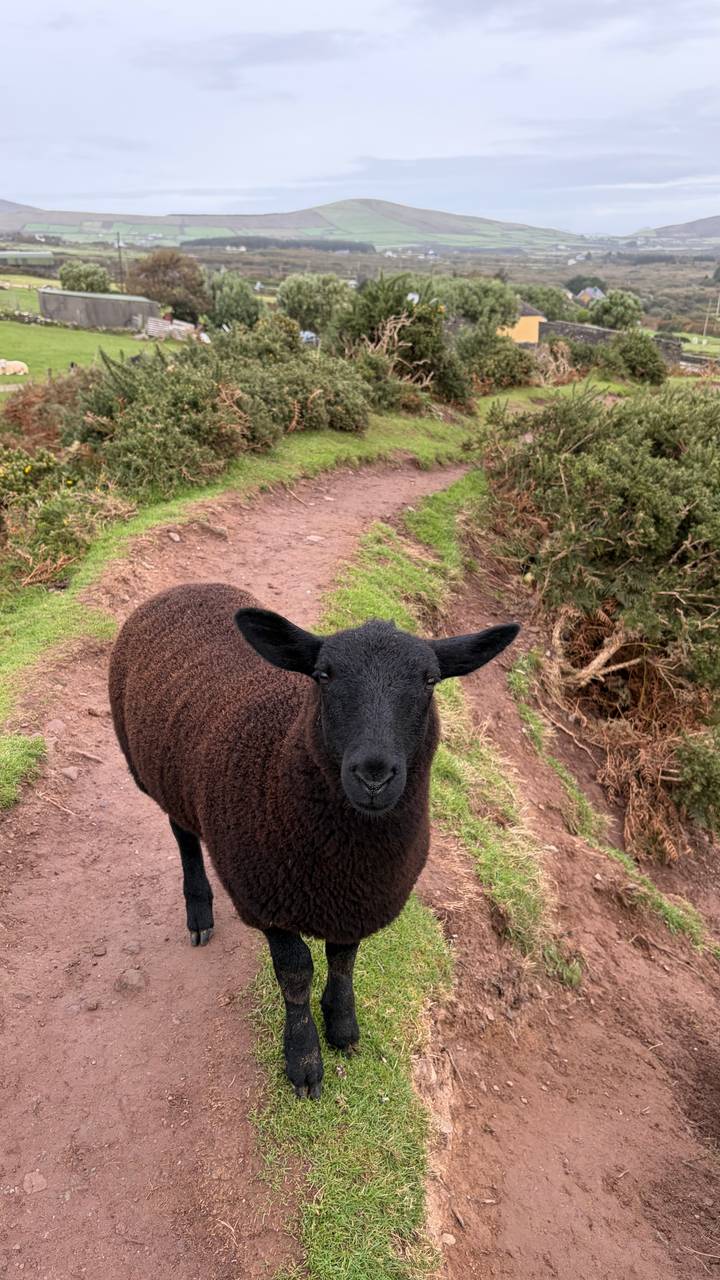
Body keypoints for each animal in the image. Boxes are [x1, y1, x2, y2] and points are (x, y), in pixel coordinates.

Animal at [109, 582, 518, 1098]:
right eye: (323, 675)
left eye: (430, 680)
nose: (374, 775)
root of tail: (185, 588)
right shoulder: (267, 900)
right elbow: (296, 973)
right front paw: (303, 1060)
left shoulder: (357, 899)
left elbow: (344, 959)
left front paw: (342, 1026)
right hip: (151, 775)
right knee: (183, 837)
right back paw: (198, 911)